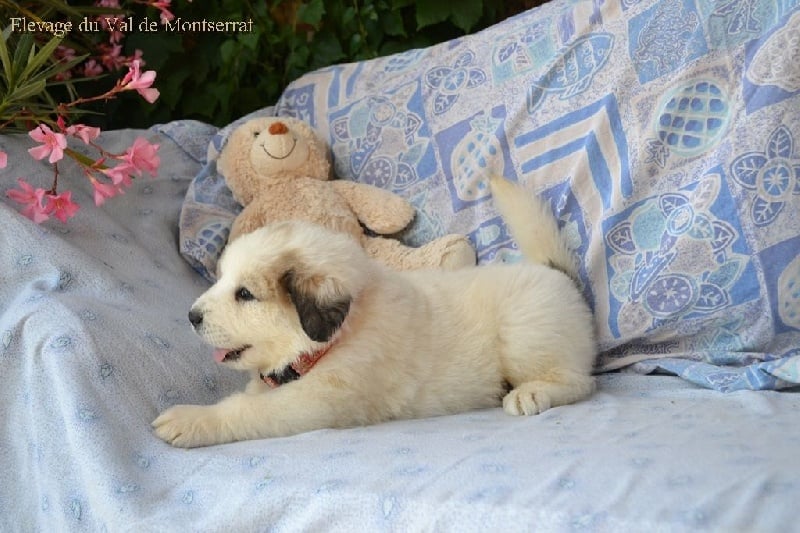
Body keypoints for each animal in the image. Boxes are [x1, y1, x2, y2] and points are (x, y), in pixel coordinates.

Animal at [153, 176, 597, 447]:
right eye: (221, 279)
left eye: (245, 294)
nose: (191, 316)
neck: (331, 343)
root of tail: (554, 272)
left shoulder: (314, 402)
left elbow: (247, 410)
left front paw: (188, 421)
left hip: (524, 334)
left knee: (581, 381)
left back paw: (531, 393)